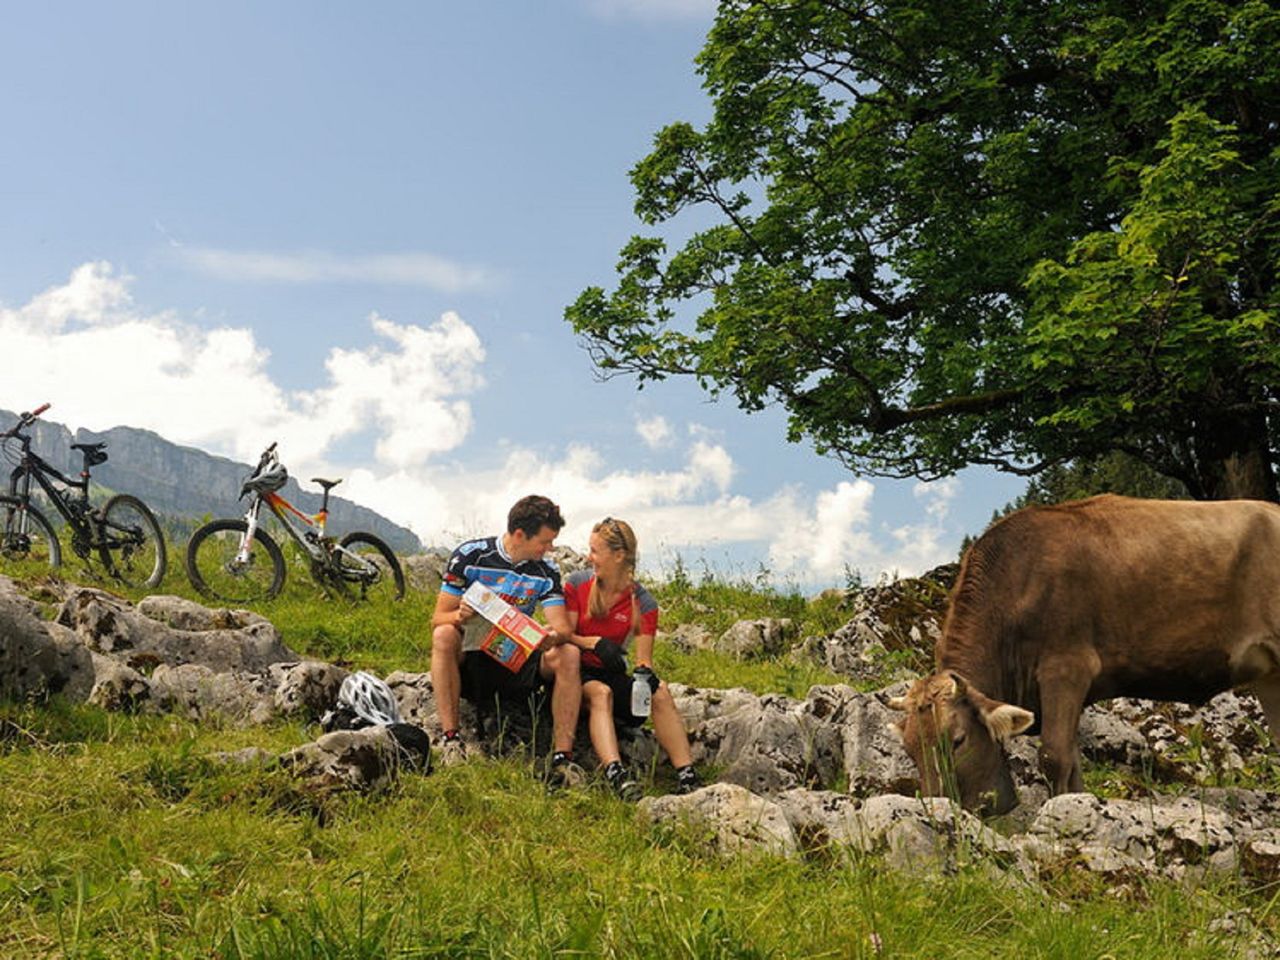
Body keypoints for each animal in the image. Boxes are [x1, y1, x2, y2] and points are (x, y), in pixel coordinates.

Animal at [885, 496, 1280, 819]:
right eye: (909, 749)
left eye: (958, 740)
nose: (938, 806)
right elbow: (1074, 762)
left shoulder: (1066, 668)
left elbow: (1055, 756)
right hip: (1270, 675)